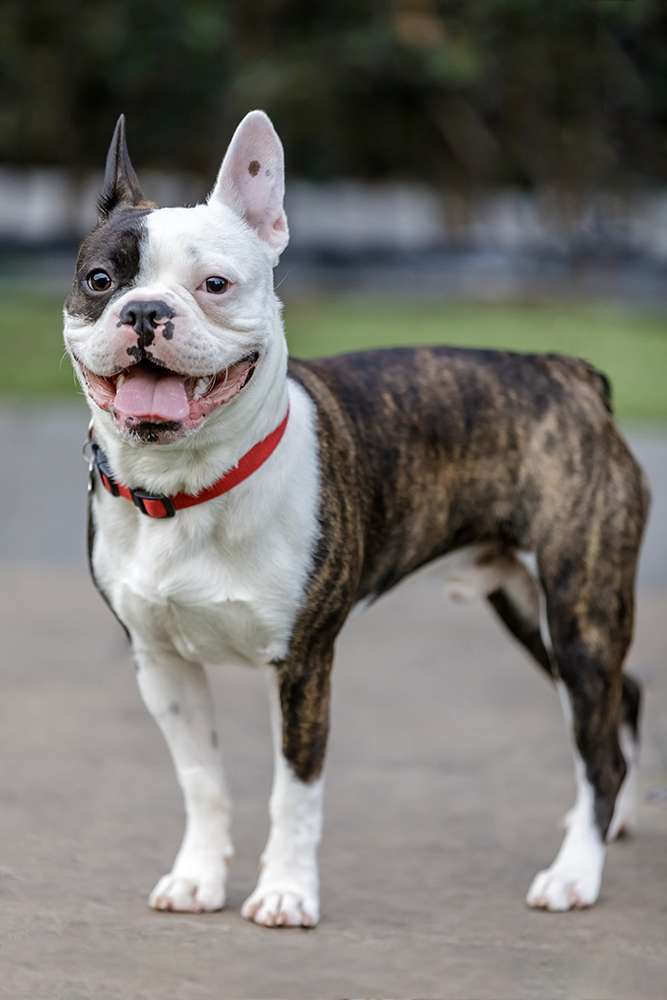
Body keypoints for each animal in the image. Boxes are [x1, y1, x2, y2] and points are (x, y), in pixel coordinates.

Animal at [62, 107, 648, 920]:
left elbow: (295, 791)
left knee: (596, 746)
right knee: (625, 699)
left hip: (578, 608)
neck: (187, 486)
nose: (145, 310)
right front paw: (199, 876)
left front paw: (284, 893)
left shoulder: (303, 664)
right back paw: (616, 822)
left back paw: (575, 873)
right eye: (100, 280)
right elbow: (202, 782)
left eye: (215, 284)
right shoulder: (162, 665)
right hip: (530, 609)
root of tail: (570, 375)